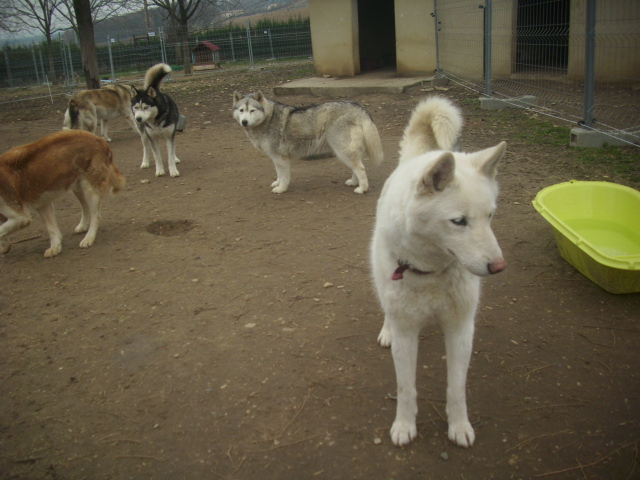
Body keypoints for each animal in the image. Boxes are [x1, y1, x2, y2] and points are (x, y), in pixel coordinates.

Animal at [368, 95, 508, 448]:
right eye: (459, 221)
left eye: (490, 216)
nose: (499, 266)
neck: (430, 272)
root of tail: (422, 156)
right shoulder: (407, 332)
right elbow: (406, 388)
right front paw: (404, 426)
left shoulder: (460, 329)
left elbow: (456, 388)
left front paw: (459, 426)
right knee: (386, 306)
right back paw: (386, 330)